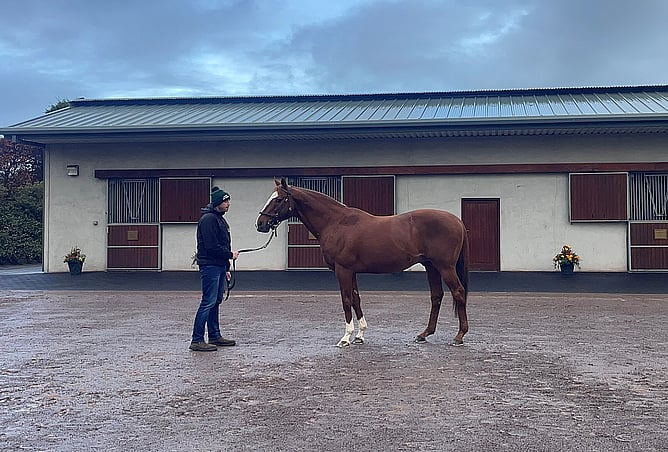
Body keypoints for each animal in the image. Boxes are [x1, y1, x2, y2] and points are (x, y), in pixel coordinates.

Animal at [256, 178, 469, 348]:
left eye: (278, 199)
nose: (260, 224)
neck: (336, 222)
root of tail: (457, 221)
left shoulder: (342, 270)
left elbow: (346, 300)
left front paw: (345, 338)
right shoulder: (352, 271)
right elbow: (356, 299)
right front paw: (360, 335)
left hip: (445, 267)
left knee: (458, 293)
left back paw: (459, 336)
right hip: (431, 266)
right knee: (436, 296)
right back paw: (424, 334)